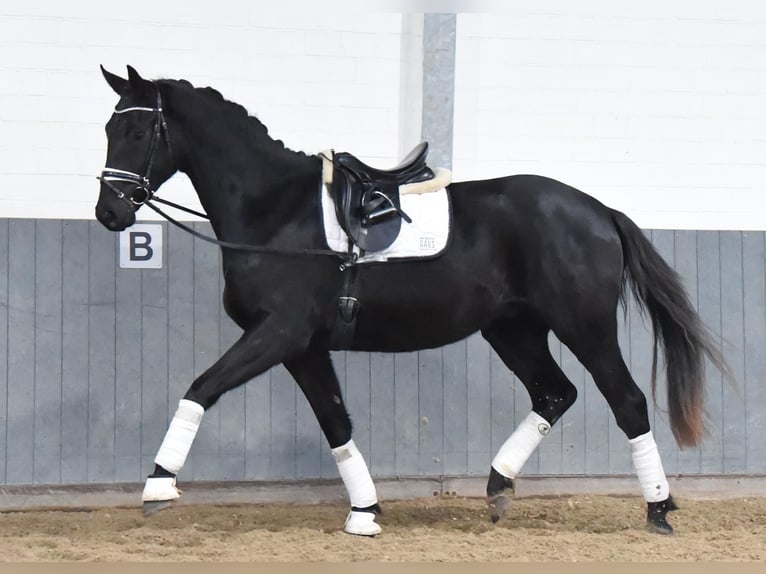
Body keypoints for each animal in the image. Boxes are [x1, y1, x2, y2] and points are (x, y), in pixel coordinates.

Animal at [96, 67, 732, 540]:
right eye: (108, 128)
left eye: (136, 134)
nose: (110, 212)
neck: (274, 208)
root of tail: (598, 210)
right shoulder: (303, 346)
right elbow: (335, 421)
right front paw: (365, 513)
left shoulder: (278, 333)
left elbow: (201, 387)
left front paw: (158, 486)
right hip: (514, 330)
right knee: (556, 393)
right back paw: (498, 488)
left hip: (585, 327)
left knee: (626, 401)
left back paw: (658, 508)